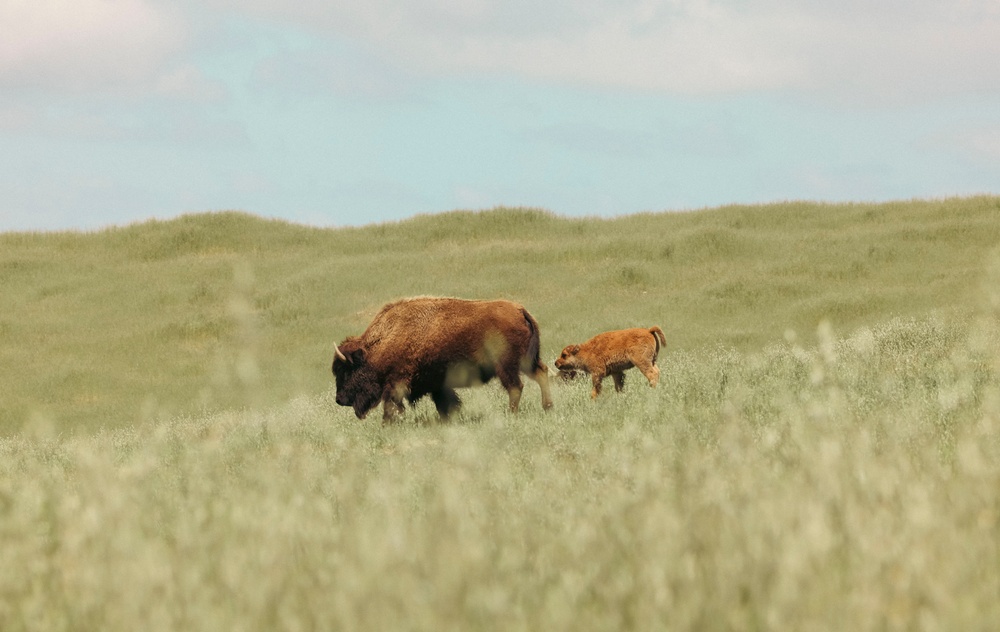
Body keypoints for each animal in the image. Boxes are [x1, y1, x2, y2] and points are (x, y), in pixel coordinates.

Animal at [334, 298, 556, 424]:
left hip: (506, 366)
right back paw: (548, 408)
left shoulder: (396, 382)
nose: (339, 399)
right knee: (541, 373)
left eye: (346, 370)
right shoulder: (437, 385)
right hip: (526, 362)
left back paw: (512, 414)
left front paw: (387, 424)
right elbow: (446, 403)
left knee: (515, 387)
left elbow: (391, 404)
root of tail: (521, 311)